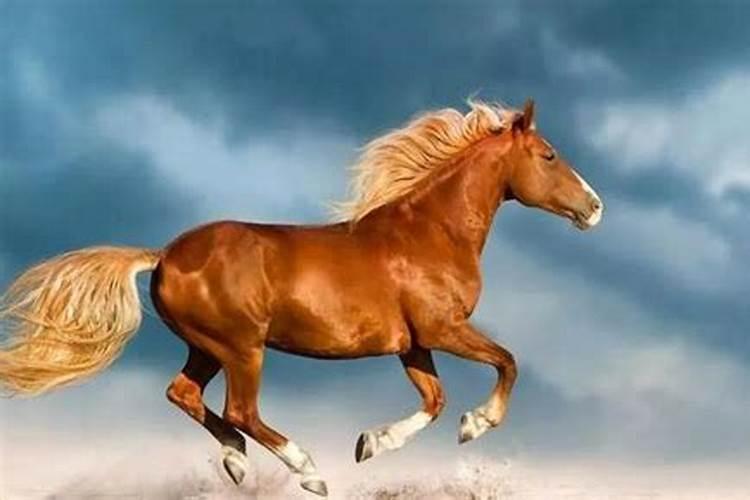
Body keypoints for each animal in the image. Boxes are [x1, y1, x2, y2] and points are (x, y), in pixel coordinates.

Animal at [0, 99, 602, 497]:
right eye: (549, 155)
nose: (594, 208)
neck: (431, 233)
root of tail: (165, 254)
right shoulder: (442, 329)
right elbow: (506, 363)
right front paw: (476, 425)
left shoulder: (412, 344)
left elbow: (434, 401)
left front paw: (370, 443)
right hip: (242, 347)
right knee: (240, 409)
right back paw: (307, 470)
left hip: (207, 347)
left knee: (185, 394)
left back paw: (237, 464)